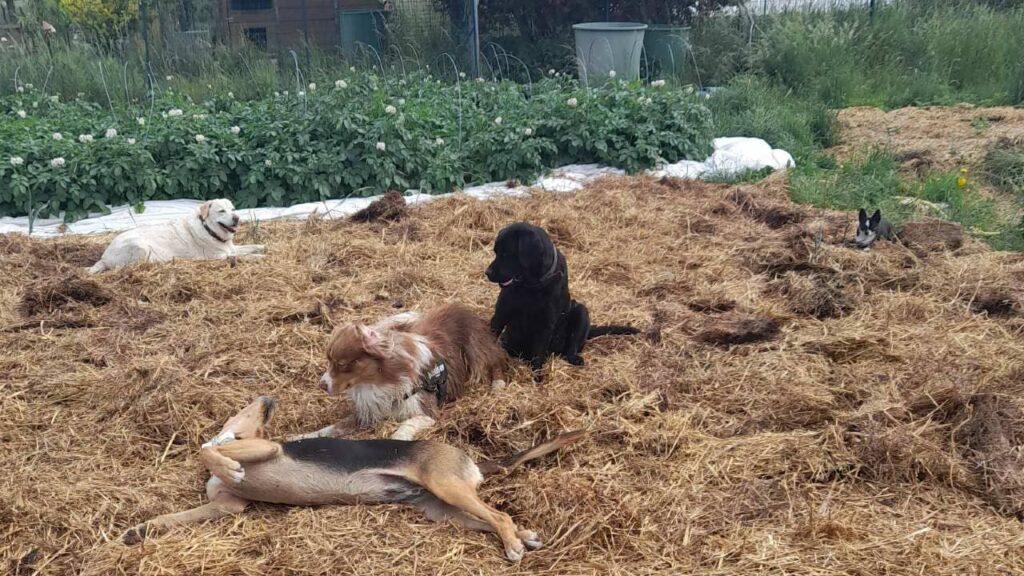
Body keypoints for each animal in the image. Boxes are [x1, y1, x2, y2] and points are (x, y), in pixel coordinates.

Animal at [88, 198, 264, 272]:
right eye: (221, 211)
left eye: (233, 209)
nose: (237, 218)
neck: (209, 230)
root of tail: (104, 258)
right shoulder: (218, 257)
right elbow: (241, 257)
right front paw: (258, 257)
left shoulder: (231, 248)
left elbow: (249, 247)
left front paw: (262, 247)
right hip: (140, 246)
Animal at [299, 303, 509, 436]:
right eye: (328, 360)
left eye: (342, 364)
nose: (321, 385)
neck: (377, 381)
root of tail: (462, 307)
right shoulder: (368, 413)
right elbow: (329, 429)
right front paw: (301, 437)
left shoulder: (427, 413)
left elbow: (405, 426)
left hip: (476, 348)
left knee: (496, 361)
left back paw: (498, 385)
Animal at [483, 222, 634, 379]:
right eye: (496, 252)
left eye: (506, 254)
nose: (487, 272)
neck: (531, 287)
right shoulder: (500, 315)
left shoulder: (545, 325)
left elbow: (538, 355)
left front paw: (537, 378)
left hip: (581, 311)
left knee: (571, 349)